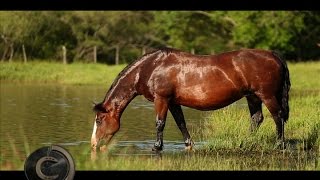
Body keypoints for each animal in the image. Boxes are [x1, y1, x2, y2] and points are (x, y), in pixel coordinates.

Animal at [90, 47, 290, 152]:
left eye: (99, 120)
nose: (94, 145)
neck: (151, 67)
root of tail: (274, 56)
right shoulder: (173, 102)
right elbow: (181, 123)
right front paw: (188, 144)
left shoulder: (161, 99)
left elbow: (160, 123)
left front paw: (156, 147)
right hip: (252, 96)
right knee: (257, 119)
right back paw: (244, 142)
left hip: (267, 95)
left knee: (278, 116)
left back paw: (279, 144)